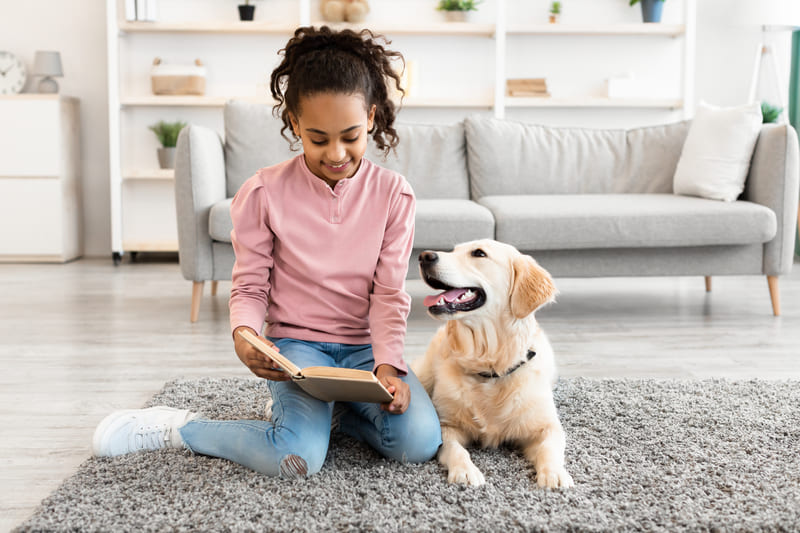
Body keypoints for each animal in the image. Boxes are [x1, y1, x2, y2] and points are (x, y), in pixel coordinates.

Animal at [412, 239, 576, 488]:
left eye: (479, 253)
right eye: (454, 250)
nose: (424, 256)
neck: (489, 366)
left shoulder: (546, 426)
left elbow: (550, 447)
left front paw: (555, 474)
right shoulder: (447, 426)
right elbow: (456, 449)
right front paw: (466, 471)